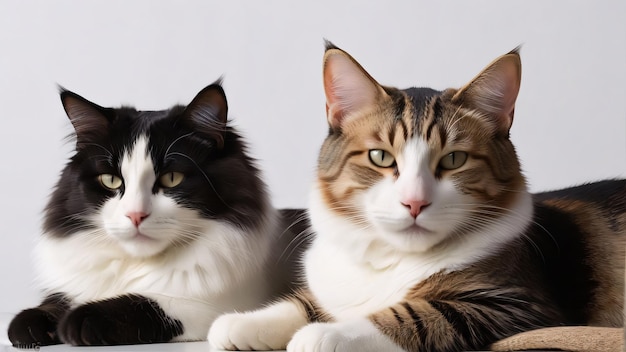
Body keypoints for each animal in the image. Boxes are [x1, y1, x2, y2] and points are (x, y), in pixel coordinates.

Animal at [6, 82, 304, 346]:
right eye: (111, 180)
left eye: (172, 178)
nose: (136, 215)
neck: (136, 264)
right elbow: (55, 302)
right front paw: (31, 326)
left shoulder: (209, 307)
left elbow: (144, 302)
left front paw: (76, 320)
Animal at [206, 44, 624, 352]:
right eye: (380, 157)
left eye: (454, 160)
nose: (415, 203)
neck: (387, 259)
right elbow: (306, 302)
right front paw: (244, 322)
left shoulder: (517, 304)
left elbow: (412, 314)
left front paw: (327, 334)